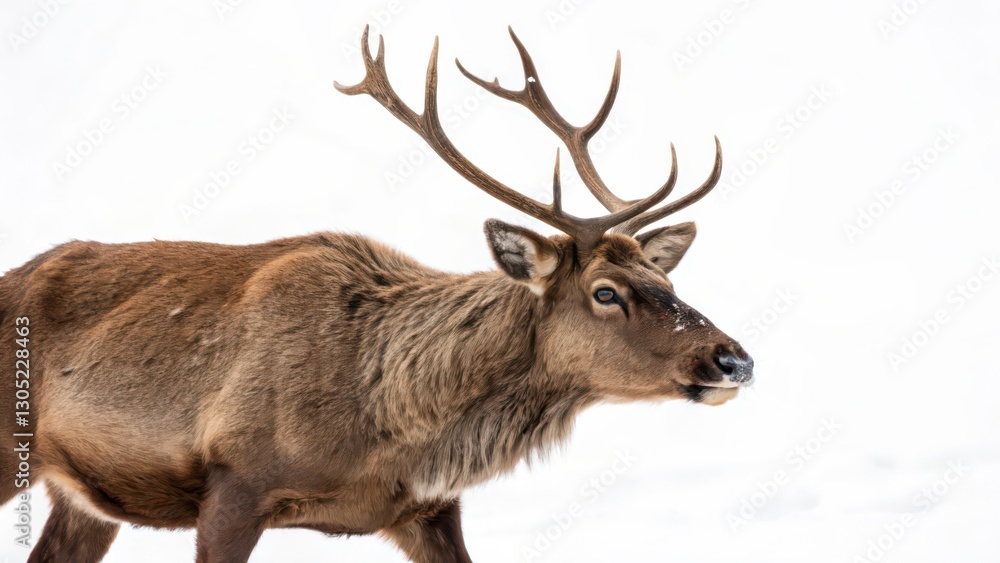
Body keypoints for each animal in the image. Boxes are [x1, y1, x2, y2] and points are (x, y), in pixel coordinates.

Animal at [0, 27, 753, 563]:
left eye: (668, 280)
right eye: (605, 291)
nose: (734, 359)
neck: (388, 425)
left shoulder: (428, 510)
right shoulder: (234, 482)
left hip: (81, 501)